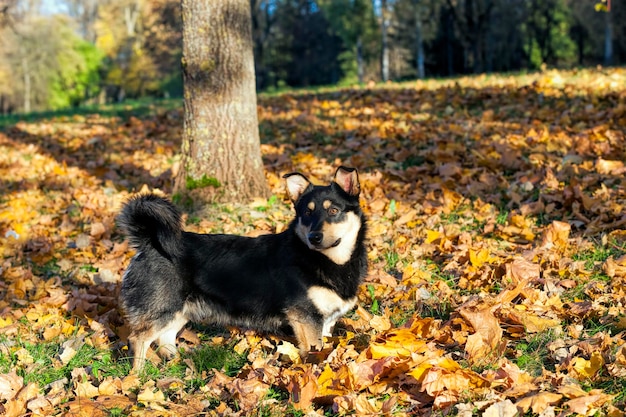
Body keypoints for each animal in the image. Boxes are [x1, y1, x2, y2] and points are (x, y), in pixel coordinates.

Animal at [117, 165, 366, 368]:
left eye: (333, 210)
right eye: (307, 212)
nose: (314, 237)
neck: (326, 260)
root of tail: (148, 241)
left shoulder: (326, 321)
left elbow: (326, 349)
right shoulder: (306, 317)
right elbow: (315, 352)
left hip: (178, 311)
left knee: (165, 339)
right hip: (163, 308)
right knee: (138, 339)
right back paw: (138, 379)